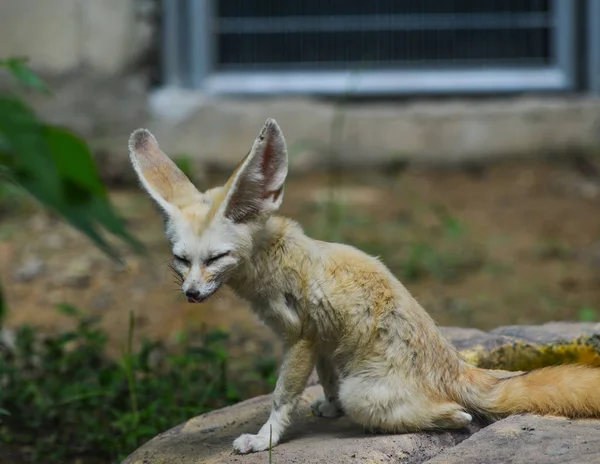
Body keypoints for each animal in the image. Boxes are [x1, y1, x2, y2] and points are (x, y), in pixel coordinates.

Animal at [129, 118, 600, 454]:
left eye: (216, 258)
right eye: (181, 260)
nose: (191, 294)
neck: (272, 258)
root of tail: (458, 369)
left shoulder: (299, 337)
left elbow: (281, 397)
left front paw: (264, 439)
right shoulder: (321, 338)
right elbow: (325, 378)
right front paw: (327, 407)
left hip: (363, 394)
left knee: (461, 416)